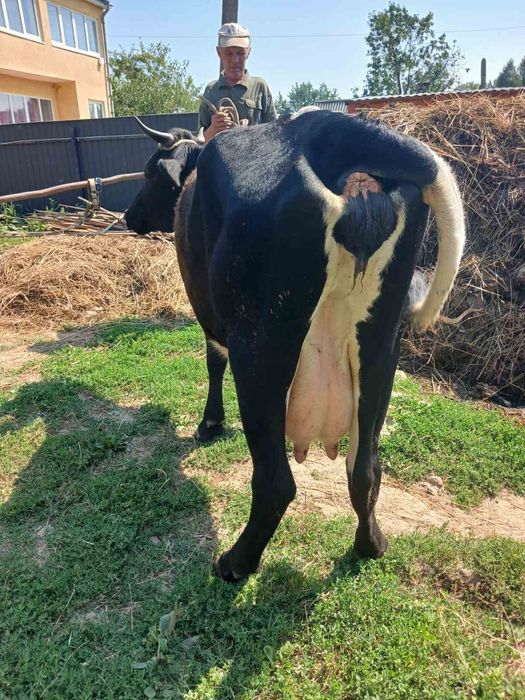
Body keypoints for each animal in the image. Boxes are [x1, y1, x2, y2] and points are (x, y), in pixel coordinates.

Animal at [125, 110, 465, 582]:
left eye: (149, 173)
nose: (128, 216)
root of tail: (333, 129)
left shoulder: (210, 316)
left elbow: (212, 361)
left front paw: (209, 424)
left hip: (261, 350)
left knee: (275, 482)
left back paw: (235, 562)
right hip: (381, 350)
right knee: (365, 469)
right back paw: (371, 544)